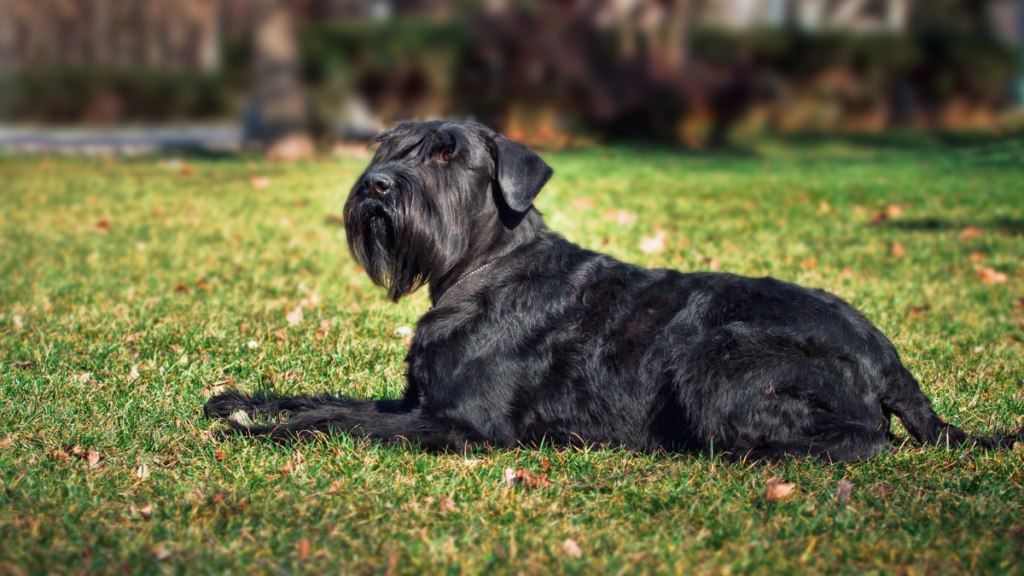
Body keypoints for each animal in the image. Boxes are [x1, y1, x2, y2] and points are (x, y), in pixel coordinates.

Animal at [203, 120, 1019, 461]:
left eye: (446, 155)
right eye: (390, 146)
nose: (375, 185)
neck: (482, 269)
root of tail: (887, 357)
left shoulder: (462, 425)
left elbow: (339, 422)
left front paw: (259, 432)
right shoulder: (420, 402)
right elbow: (328, 400)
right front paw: (241, 401)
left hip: (719, 360)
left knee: (862, 441)